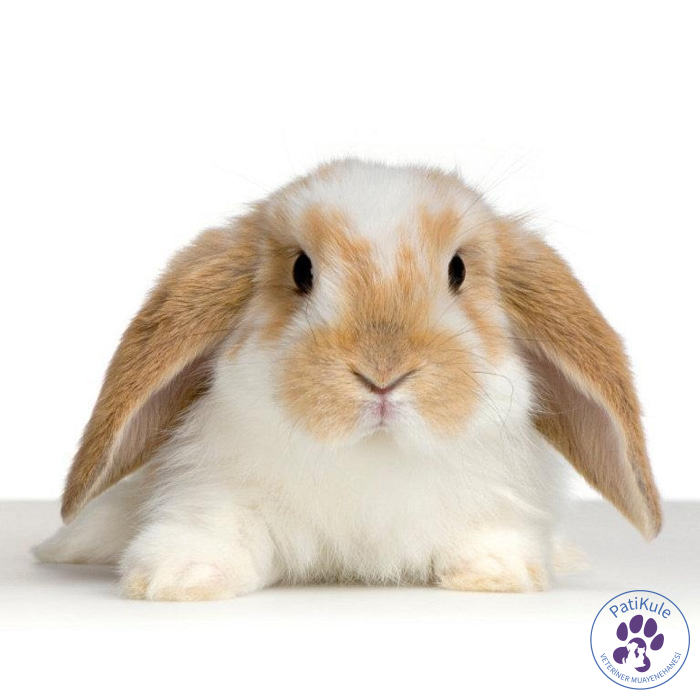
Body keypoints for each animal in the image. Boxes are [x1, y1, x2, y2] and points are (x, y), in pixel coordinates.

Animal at [34, 158, 661, 601]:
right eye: (301, 270)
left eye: (458, 269)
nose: (382, 373)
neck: (371, 456)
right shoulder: (215, 491)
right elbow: (212, 528)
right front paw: (180, 577)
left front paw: (497, 572)